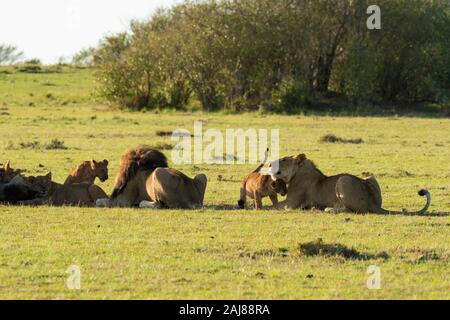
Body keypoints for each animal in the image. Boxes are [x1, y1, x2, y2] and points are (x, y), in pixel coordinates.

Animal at [268, 153, 430, 215]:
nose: (269, 164)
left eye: (283, 159)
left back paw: (328, 209)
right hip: (371, 178)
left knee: (353, 210)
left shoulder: (291, 204)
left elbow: (271, 207)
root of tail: (373, 203)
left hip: (343, 180)